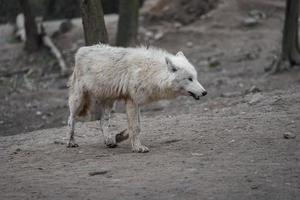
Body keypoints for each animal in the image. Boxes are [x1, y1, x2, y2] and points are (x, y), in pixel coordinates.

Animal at [67, 43, 206, 152]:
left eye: (195, 77)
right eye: (189, 79)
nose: (205, 92)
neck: (152, 72)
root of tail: (82, 49)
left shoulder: (137, 102)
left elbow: (137, 126)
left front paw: (120, 137)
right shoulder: (132, 100)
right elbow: (136, 127)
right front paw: (138, 148)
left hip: (109, 101)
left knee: (103, 120)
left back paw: (109, 141)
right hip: (79, 100)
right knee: (71, 119)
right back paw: (71, 142)